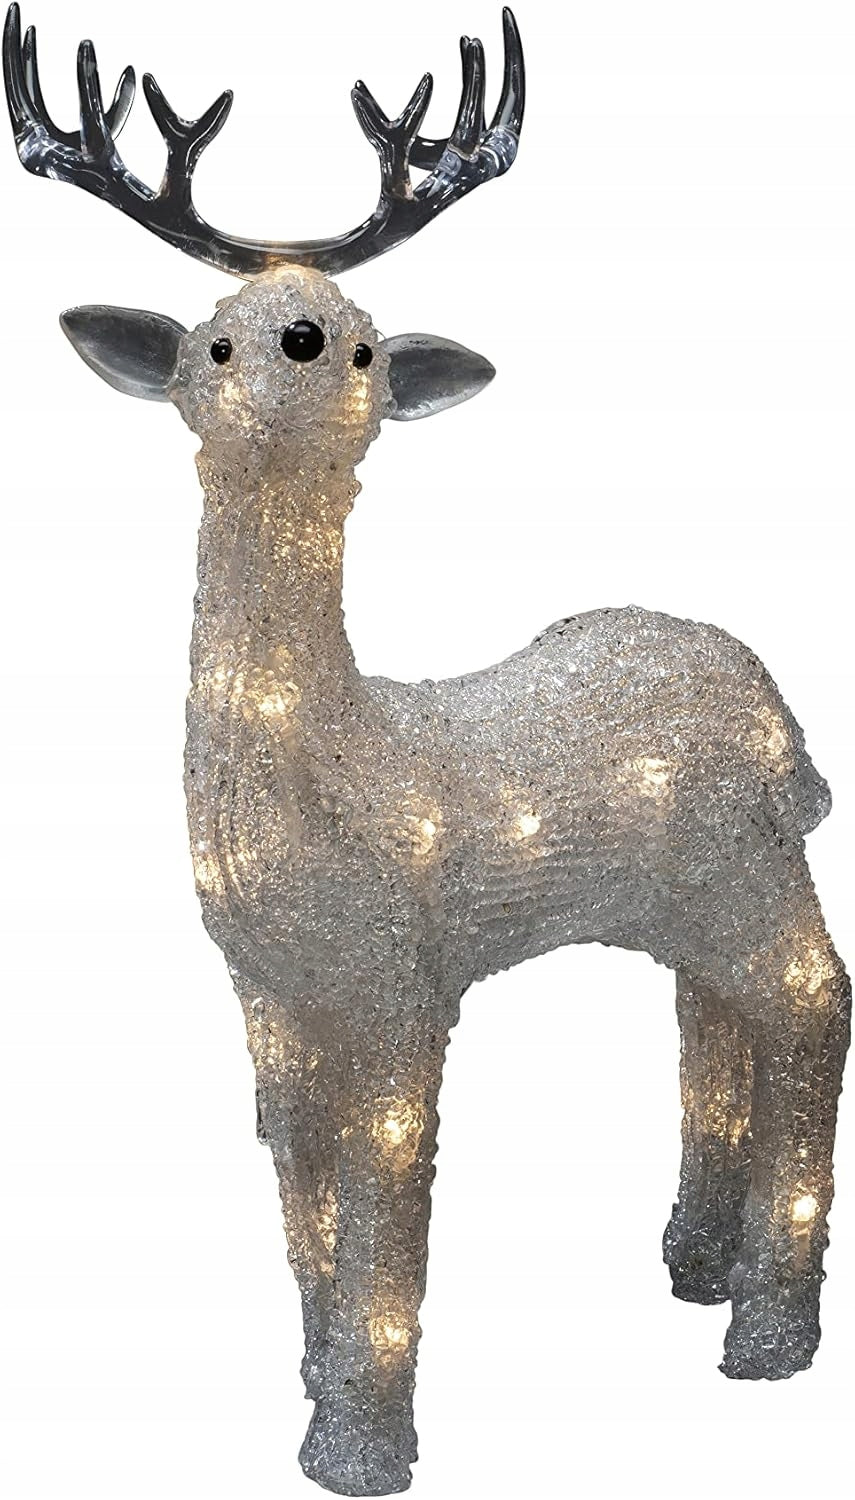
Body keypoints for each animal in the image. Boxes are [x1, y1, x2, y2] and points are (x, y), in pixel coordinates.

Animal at [4, 5, 850, 1495]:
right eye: (212, 345)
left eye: (359, 349)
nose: (296, 328)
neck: (335, 759)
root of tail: (777, 711)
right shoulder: (268, 992)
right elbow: (295, 1177)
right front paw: (309, 1384)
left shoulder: (404, 978)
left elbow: (386, 1188)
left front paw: (362, 1441)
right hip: (690, 886)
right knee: (714, 1012)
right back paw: (696, 1260)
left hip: (746, 862)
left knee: (812, 998)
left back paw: (766, 1333)